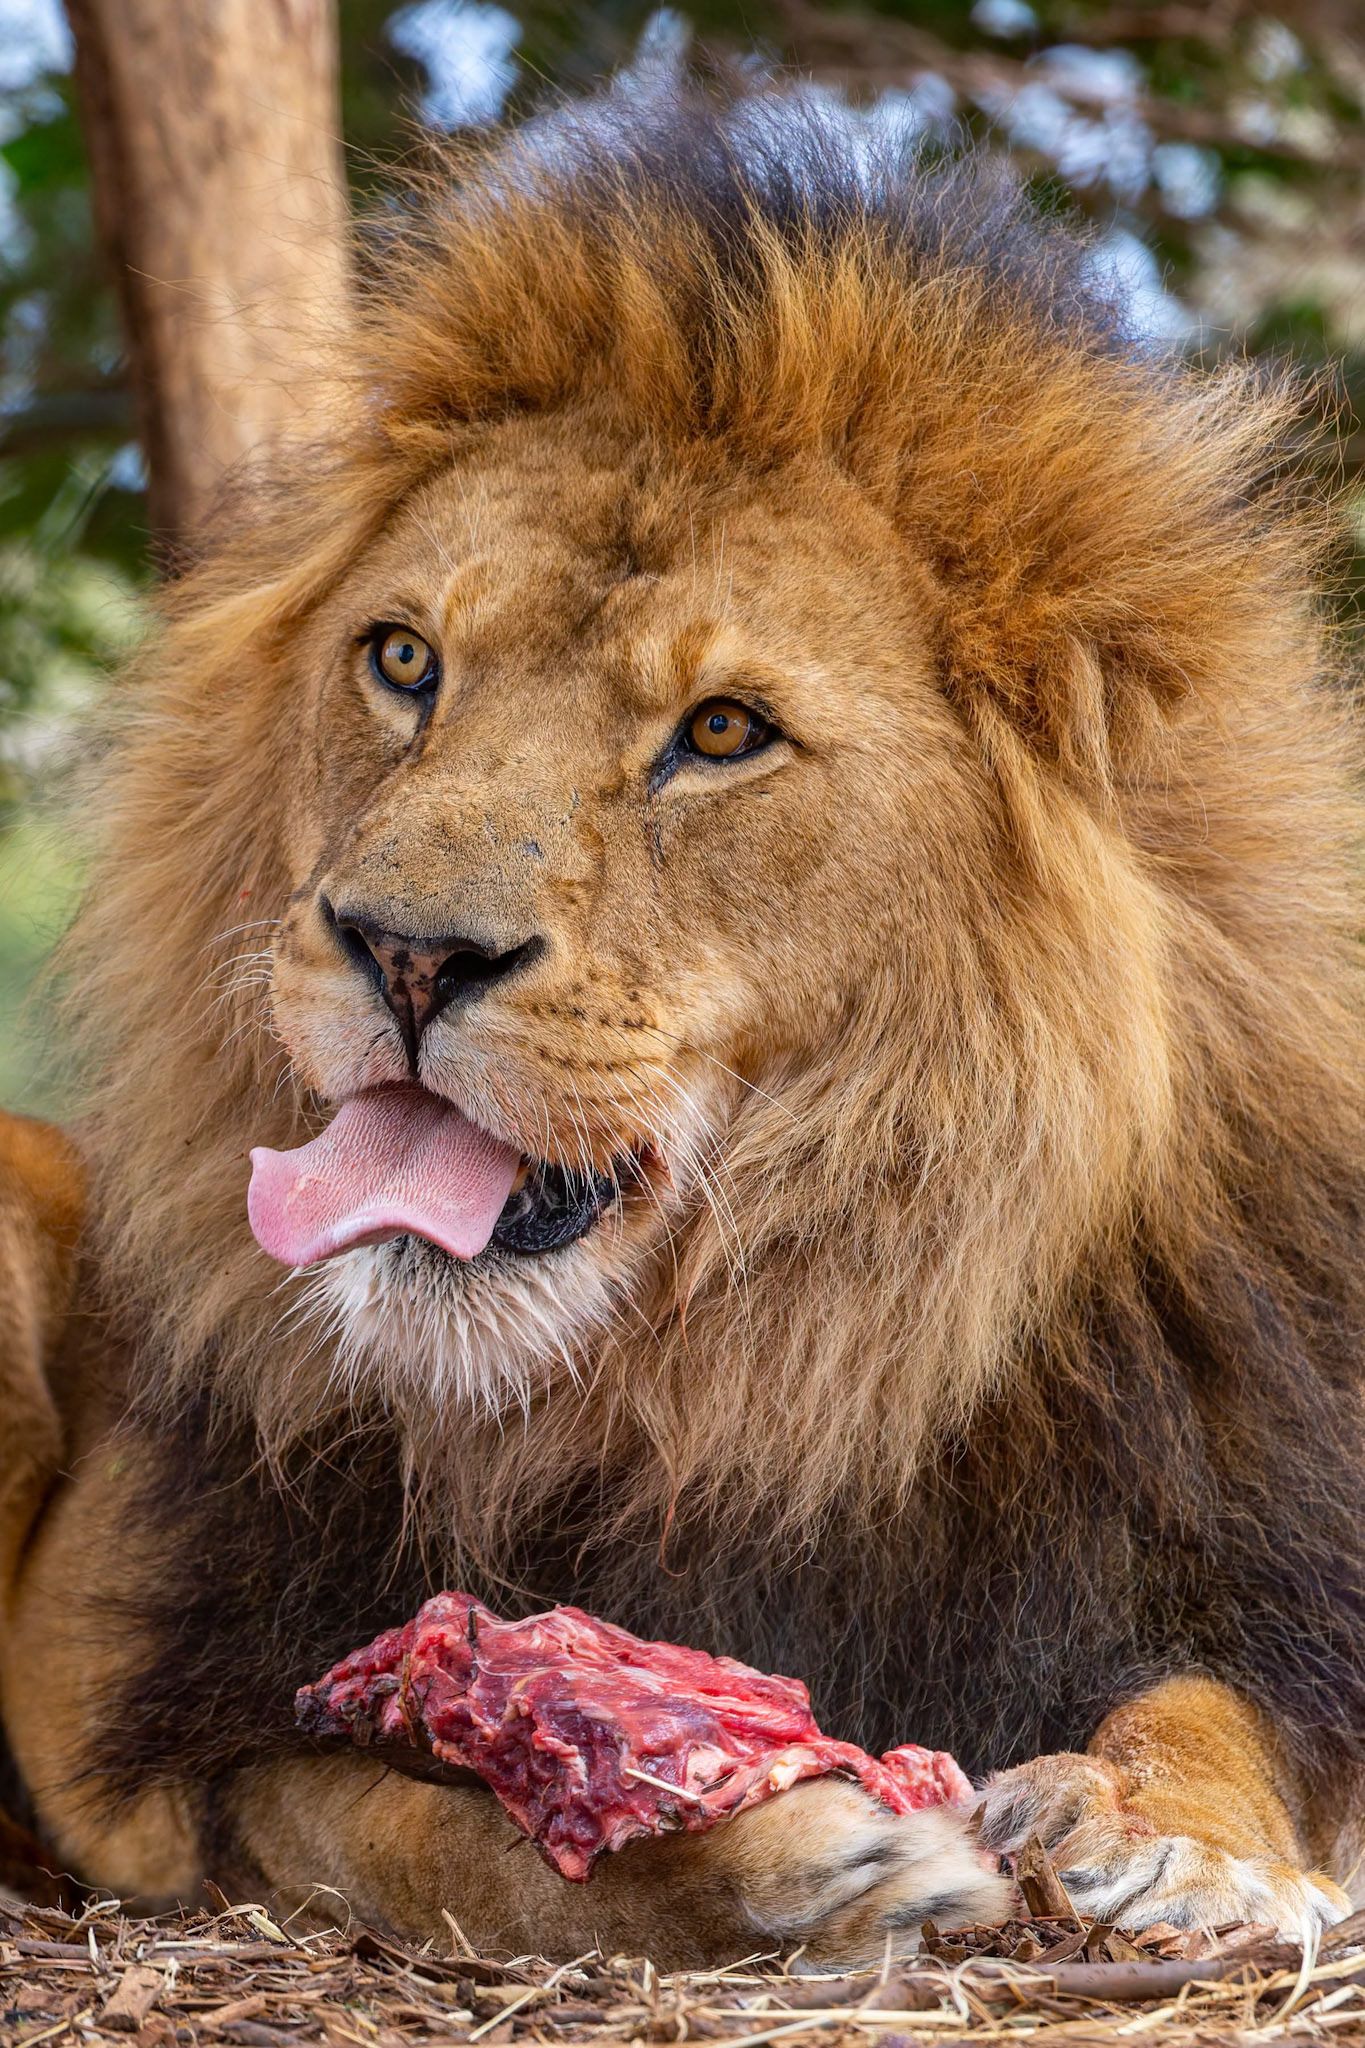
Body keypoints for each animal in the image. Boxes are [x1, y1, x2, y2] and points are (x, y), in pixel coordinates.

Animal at [2, 84, 1365, 1961]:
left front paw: (1176, 1837)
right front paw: (794, 1852)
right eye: (405, 661)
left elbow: (1216, 1704)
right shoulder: (216, 1760)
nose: (403, 952)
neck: (765, 1386)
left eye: (721, 731)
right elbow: (446, 1832)